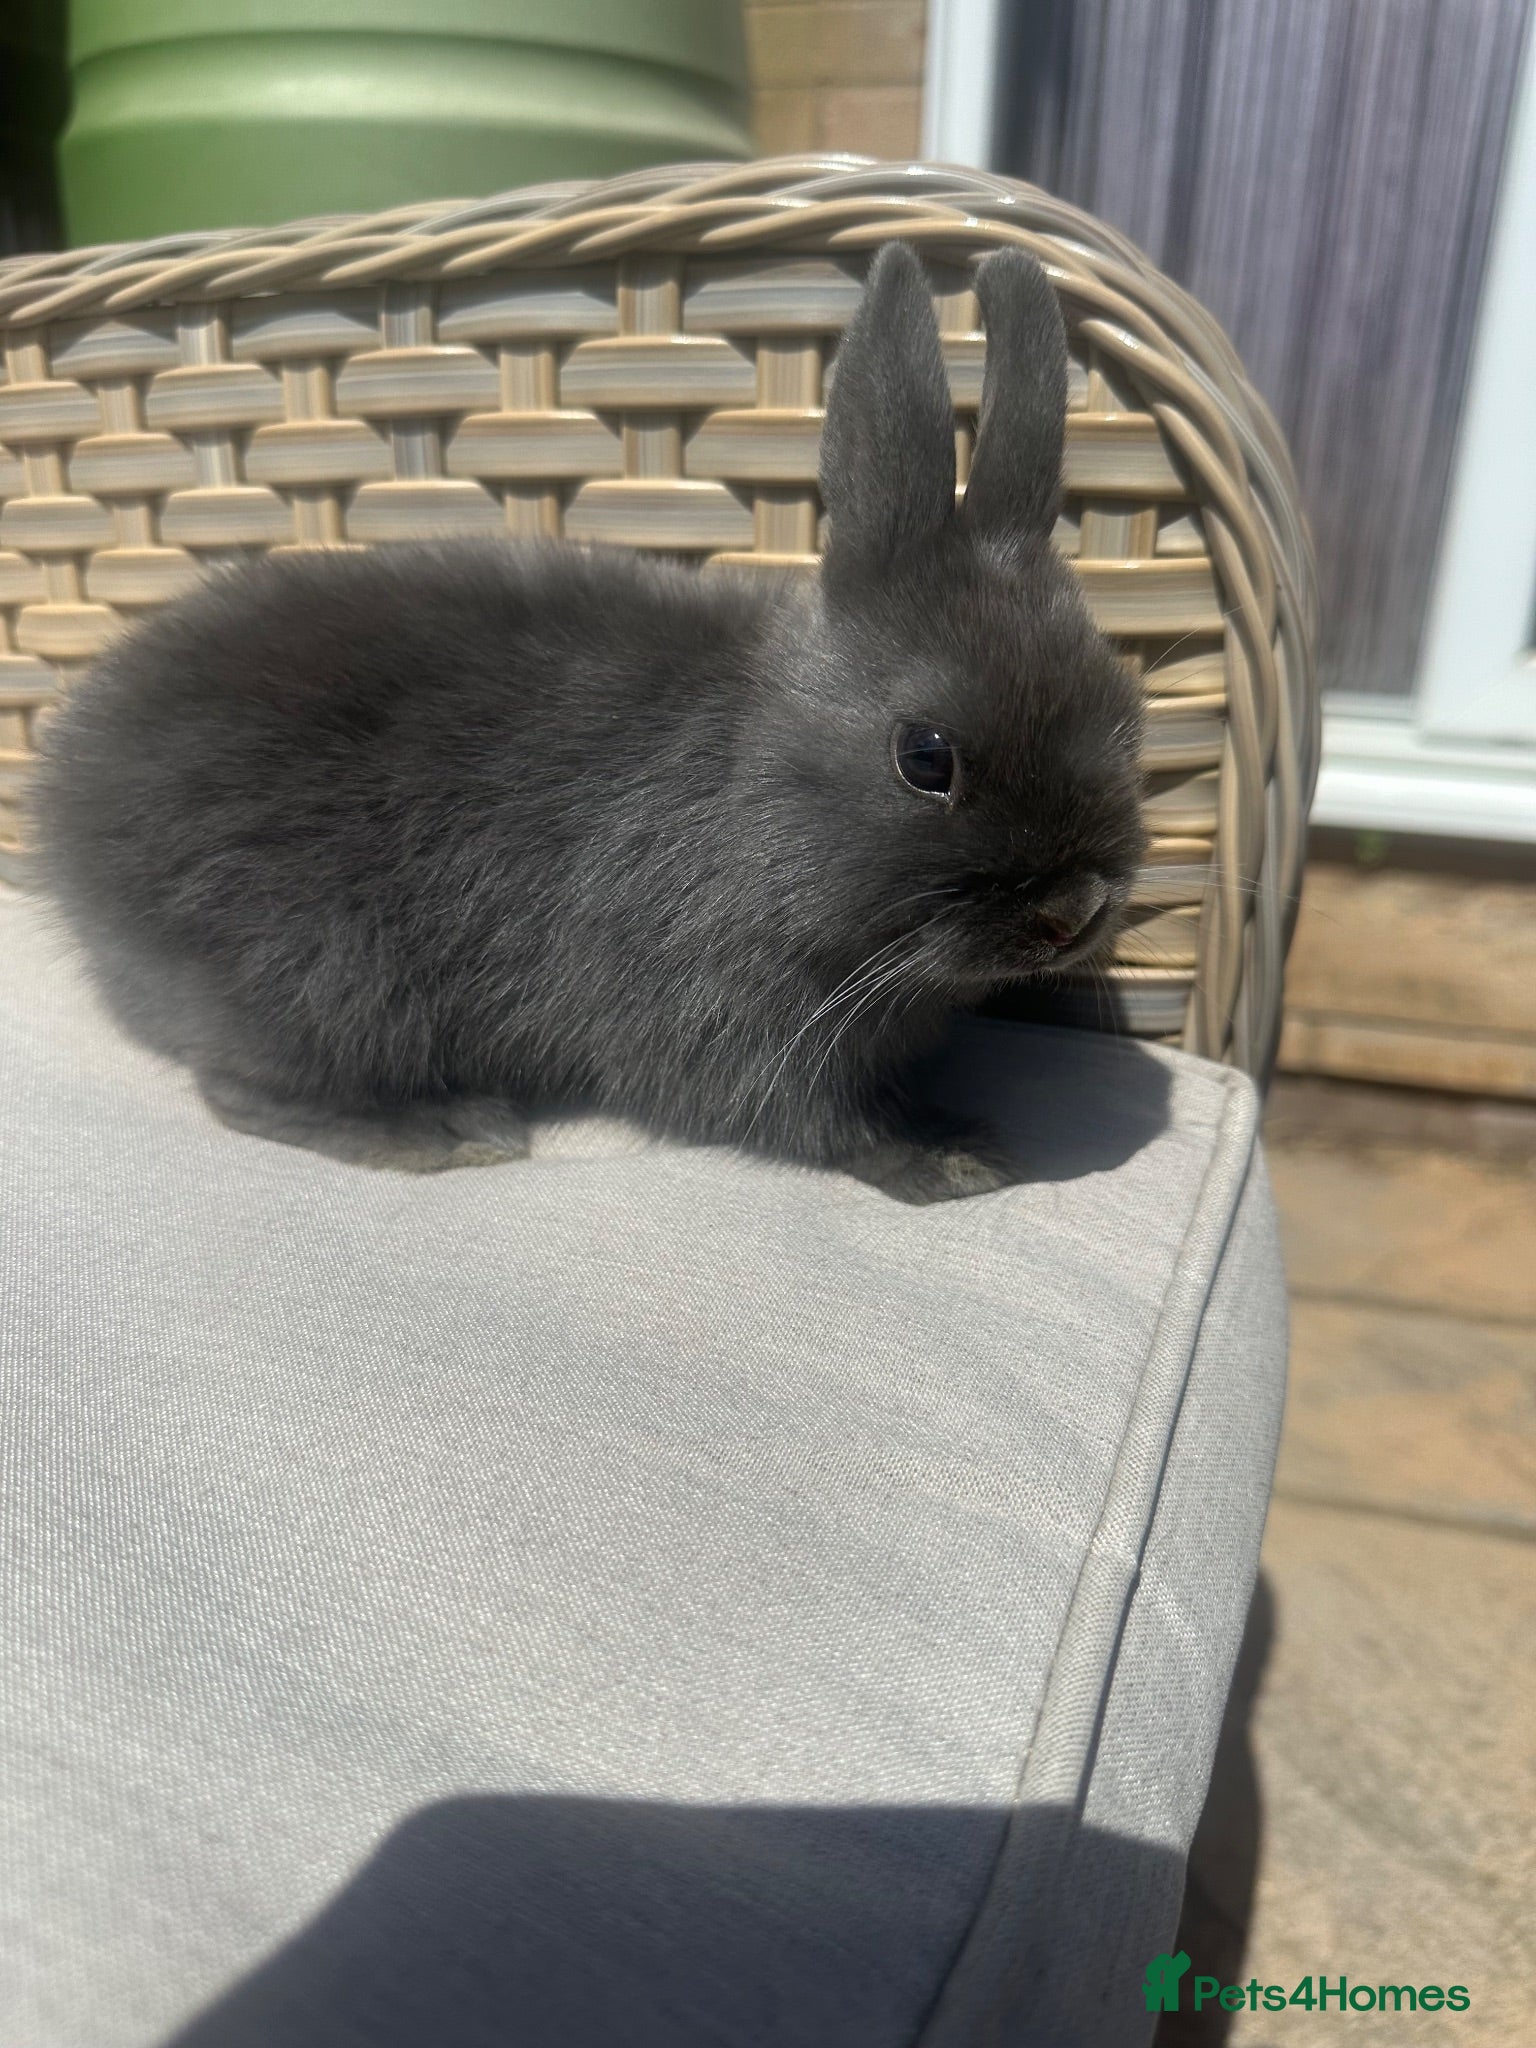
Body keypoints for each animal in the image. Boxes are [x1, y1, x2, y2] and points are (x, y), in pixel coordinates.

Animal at [30, 241, 1146, 1204]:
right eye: (926, 757)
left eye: (1128, 709)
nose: (1075, 908)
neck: (750, 787)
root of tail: (66, 796)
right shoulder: (730, 1019)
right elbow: (814, 1119)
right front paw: (949, 1155)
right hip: (320, 976)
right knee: (244, 1088)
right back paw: (448, 1130)